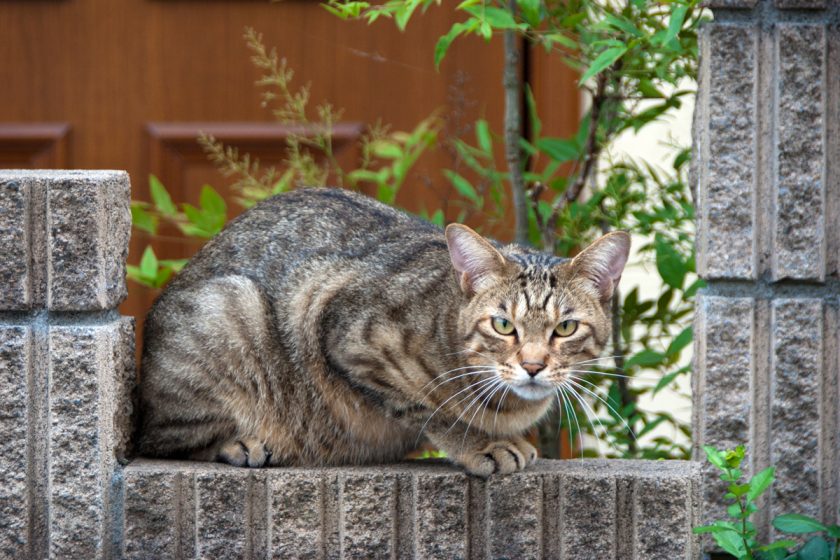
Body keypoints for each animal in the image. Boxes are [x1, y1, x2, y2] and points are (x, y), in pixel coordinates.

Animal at [136, 186, 632, 474]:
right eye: (503, 324)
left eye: (565, 328)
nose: (532, 365)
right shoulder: (340, 327)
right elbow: (429, 409)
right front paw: (480, 445)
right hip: (230, 309)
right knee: (163, 439)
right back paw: (244, 443)